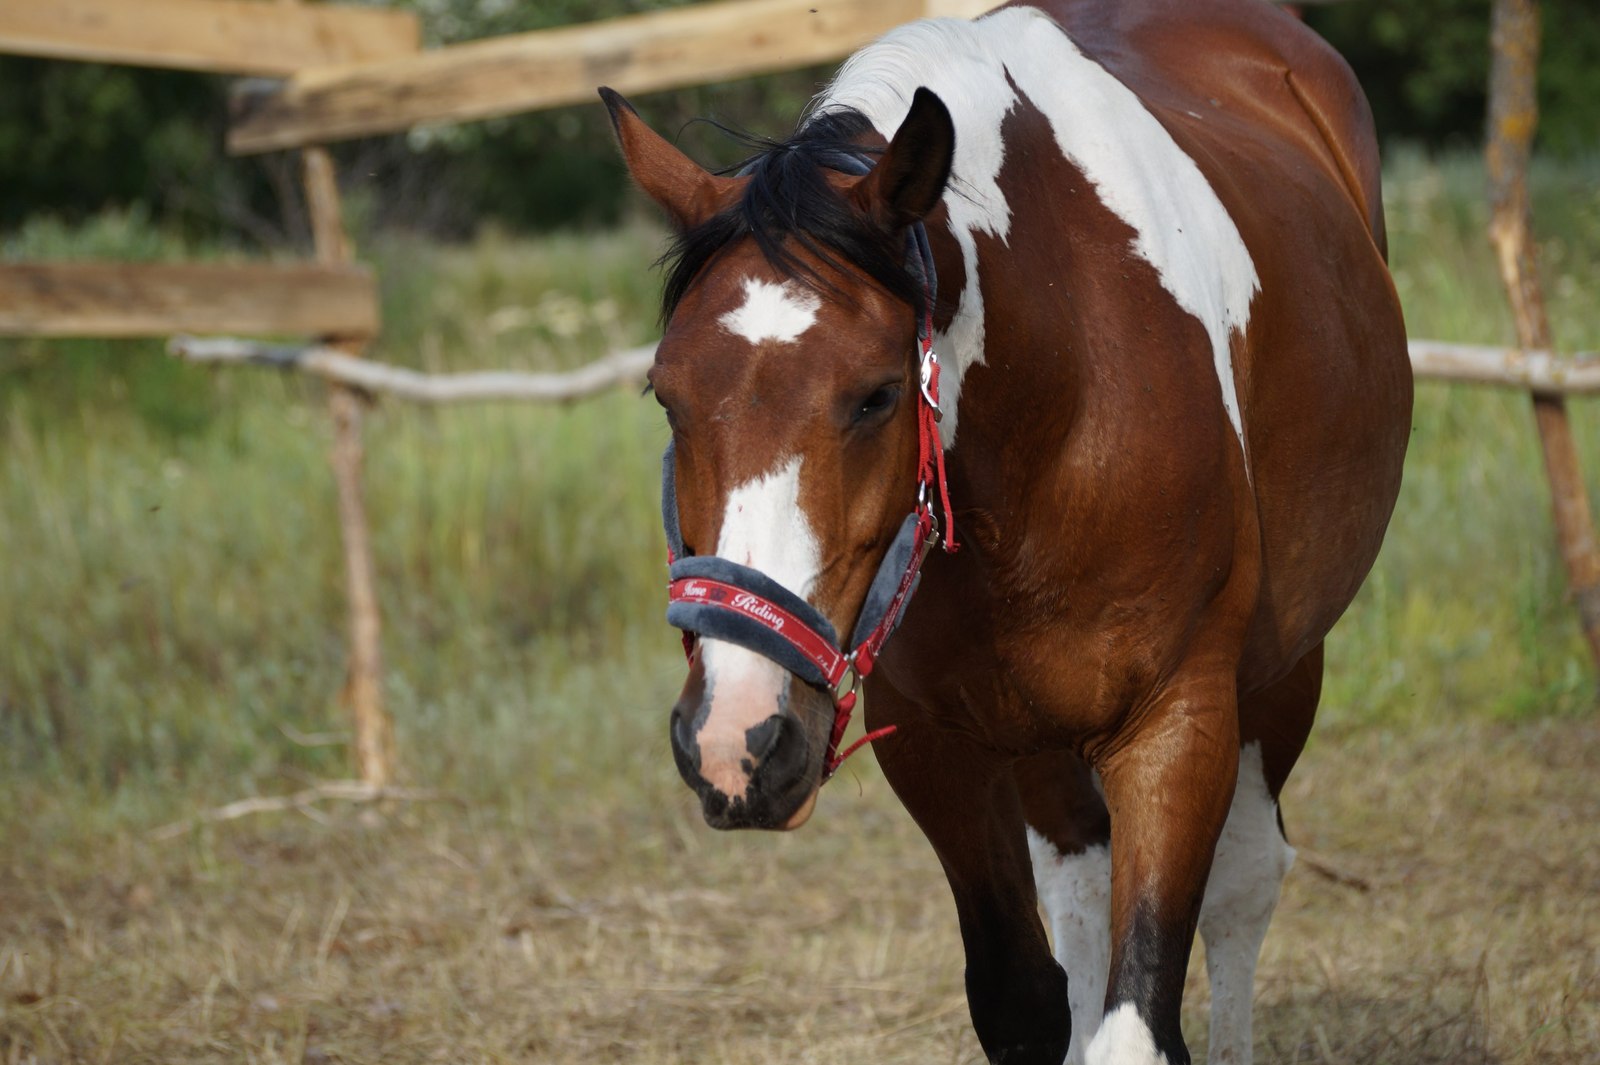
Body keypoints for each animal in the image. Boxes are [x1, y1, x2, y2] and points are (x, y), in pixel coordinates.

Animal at [601, 2, 1414, 1055]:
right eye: (667, 396)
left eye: (876, 396)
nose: (736, 740)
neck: (1060, 405)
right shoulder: (937, 748)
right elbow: (1023, 998)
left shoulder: (1179, 724)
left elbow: (1136, 1017)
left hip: (1282, 670)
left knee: (1246, 879)